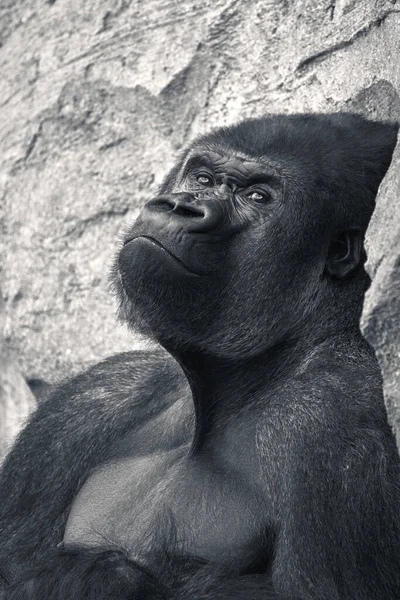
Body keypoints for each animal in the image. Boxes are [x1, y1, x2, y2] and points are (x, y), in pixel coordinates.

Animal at [0, 113, 400, 600]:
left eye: (256, 197)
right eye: (203, 179)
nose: (180, 206)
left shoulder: (330, 422)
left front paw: (101, 577)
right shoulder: (89, 399)